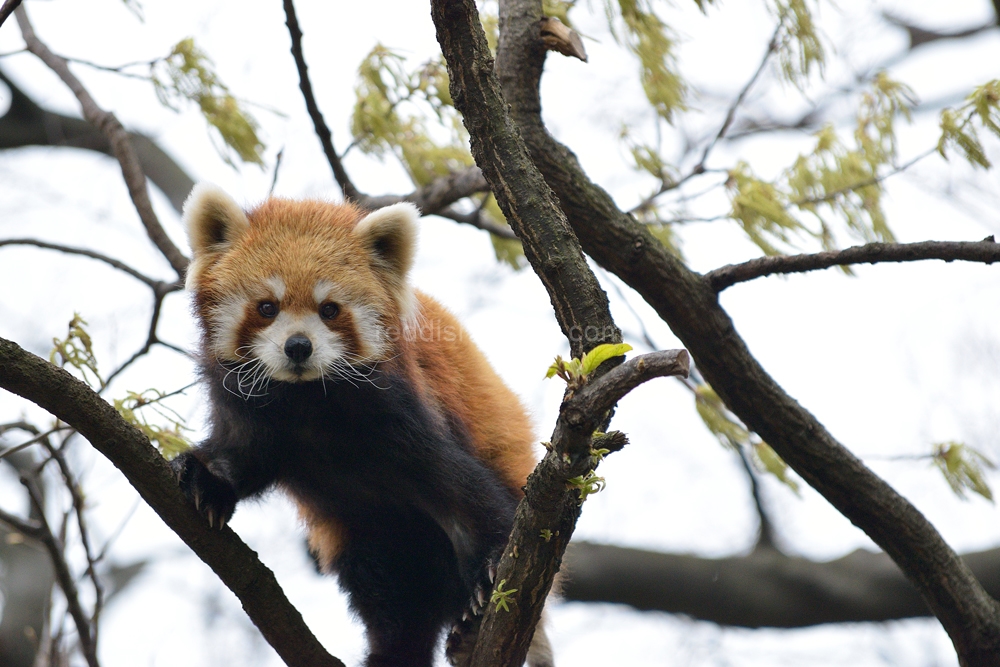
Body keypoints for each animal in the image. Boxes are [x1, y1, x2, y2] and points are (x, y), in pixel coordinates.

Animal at [170, 185, 548, 667]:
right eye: (267, 307)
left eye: (329, 310)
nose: (298, 347)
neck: (306, 401)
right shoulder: (250, 412)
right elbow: (242, 457)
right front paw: (207, 479)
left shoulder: (401, 414)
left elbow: (462, 491)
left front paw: (490, 569)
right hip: (367, 536)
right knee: (390, 592)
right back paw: (395, 652)